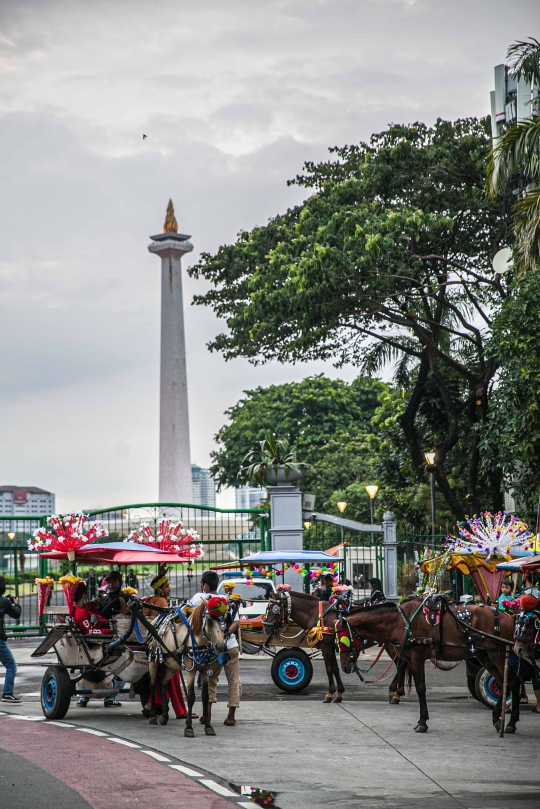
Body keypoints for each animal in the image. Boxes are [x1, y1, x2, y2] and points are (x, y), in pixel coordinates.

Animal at [144, 596, 227, 736]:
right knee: (153, 684)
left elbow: (205, 697)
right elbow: (191, 697)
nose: (220, 645)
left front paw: (208, 726)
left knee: (163, 682)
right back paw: (153, 715)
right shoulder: (191, 670)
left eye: (223, 619)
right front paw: (189, 727)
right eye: (209, 620)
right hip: (153, 661)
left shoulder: (204, 670)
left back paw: (164, 716)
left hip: (172, 664)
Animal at [262, 588, 410, 700]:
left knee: (401, 664)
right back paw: (396, 691)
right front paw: (339, 693)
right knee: (401, 665)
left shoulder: (326, 646)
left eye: (274, 608)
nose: (265, 627)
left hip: (391, 644)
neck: (318, 615)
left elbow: (329, 669)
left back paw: (396, 691)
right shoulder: (330, 647)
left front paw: (329, 693)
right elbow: (334, 668)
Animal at [338, 592, 520, 732]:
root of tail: (508, 616)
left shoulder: (417, 657)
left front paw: (422, 722)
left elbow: (420, 688)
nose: (345, 666)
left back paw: (510, 722)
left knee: (511, 681)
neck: (401, 621)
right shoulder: (410, 659)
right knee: (505, 681)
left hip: (497, 653)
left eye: (343, 640)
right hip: (485, 655)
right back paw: (499, 718)